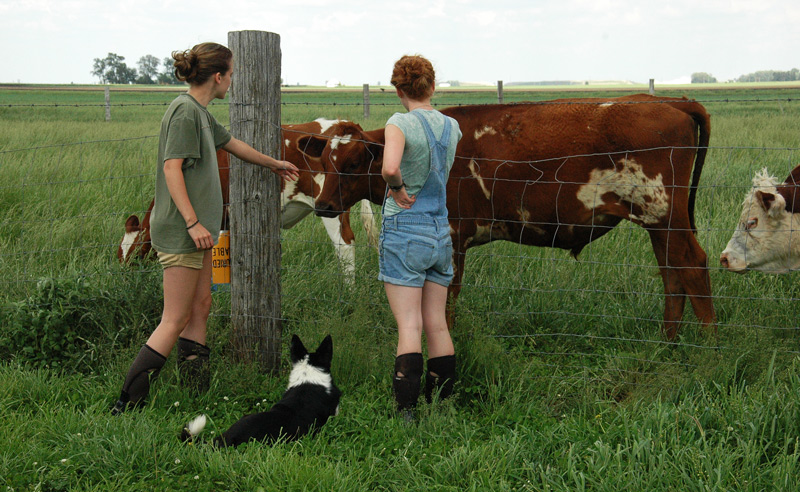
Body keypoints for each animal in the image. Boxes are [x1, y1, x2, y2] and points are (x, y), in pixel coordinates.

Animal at [307, 94, 716, 340]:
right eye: (324, 160)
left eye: (355, 162)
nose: (323, 205)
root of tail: (668, 100)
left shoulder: (452, 237)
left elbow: (446, 298)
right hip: (658, 222)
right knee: (672, 276)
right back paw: (667, 344)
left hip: (666, 216)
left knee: (693, 267)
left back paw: (707, 348)